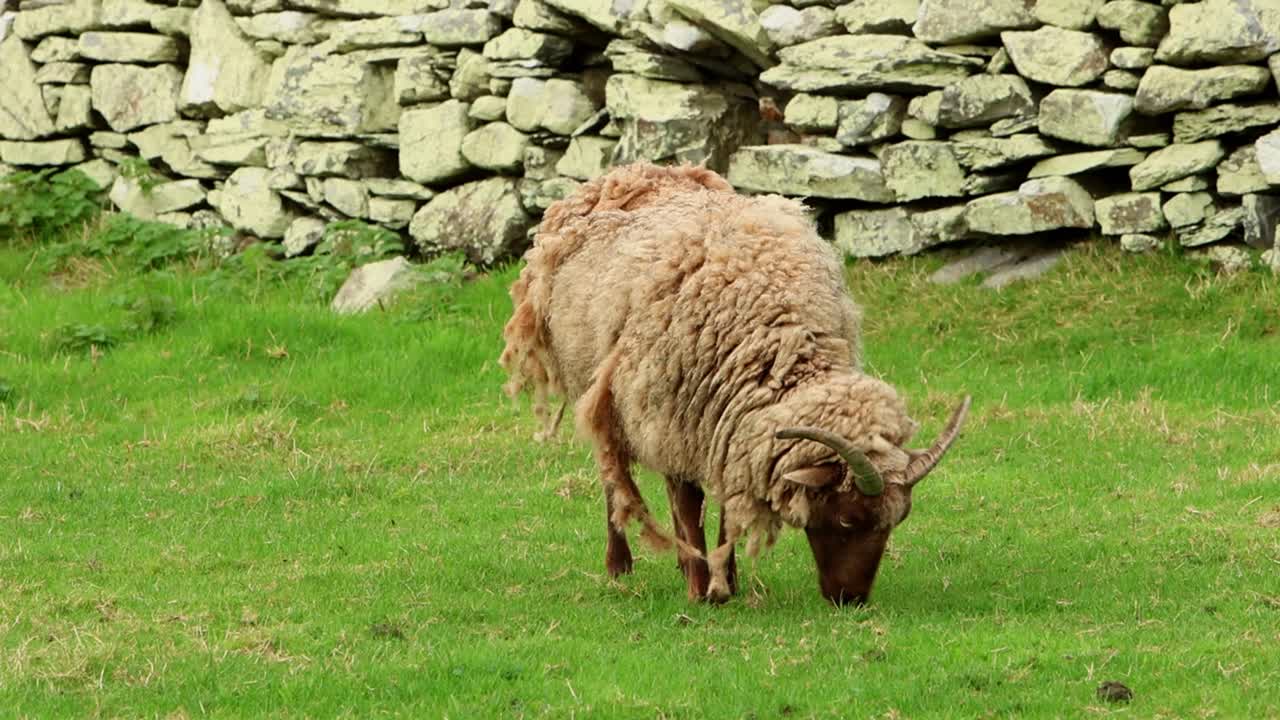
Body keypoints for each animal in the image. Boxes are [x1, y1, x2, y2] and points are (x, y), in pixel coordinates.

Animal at [500, 162, 970, 605]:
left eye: (896, 520)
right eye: (846, 518)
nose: (850, 599)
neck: (776, 339)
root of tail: (631, 172)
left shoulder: (730, 424)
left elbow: (729, 503)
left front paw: (726, 579)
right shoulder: (673, 417)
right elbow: (688, 503)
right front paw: (701, 588)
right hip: (597, 392)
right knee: (612, 476)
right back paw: (620, 563)